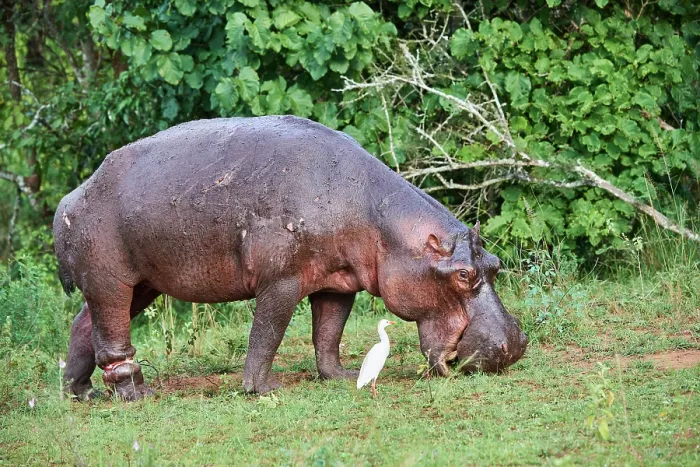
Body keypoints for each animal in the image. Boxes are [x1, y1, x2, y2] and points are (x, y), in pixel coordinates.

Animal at [54, 116, 527, 400]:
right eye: (462, 274)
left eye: (495, 264)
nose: (516, 344)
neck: (382, 223)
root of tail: (71, 197)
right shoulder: (281, 281)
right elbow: (268, 333)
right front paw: (263, 389)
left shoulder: (338, 283)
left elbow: (328, 333)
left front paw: (340, 376)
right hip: (111, 278)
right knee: (113, 340)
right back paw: (138, 395)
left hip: (144, 282)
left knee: (84, 325)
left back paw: (80, 393)